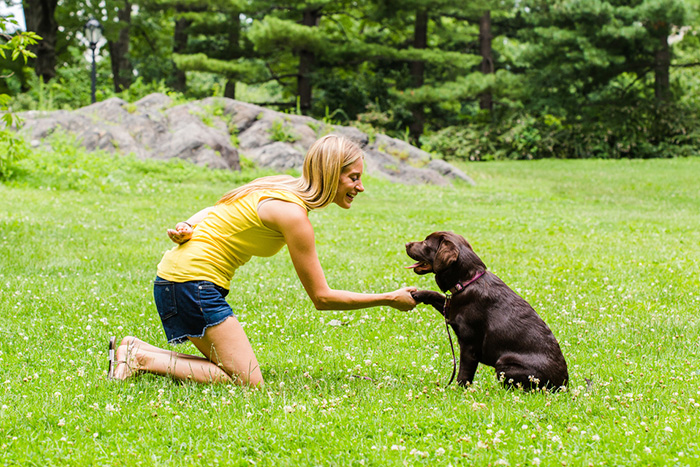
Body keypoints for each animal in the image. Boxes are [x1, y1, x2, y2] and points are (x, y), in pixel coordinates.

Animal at [404, 231, 568, 392]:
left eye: (426, 242)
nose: (406, 243)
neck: (467, 281)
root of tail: (563, 386)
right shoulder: (450, 308)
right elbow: (437, 296)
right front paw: (417, 294)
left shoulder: (469, 346)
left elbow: (463, 374)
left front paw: (458, 391)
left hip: (504, 363)